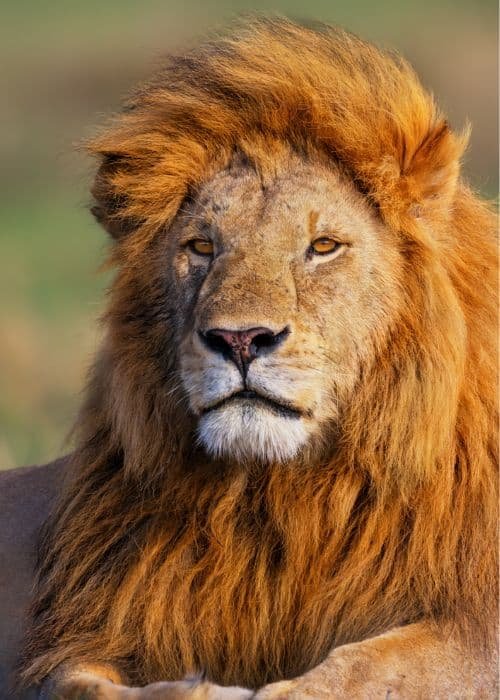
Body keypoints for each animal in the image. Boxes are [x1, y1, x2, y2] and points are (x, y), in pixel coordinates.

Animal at [0, 16, 497, 699]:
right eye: (201, 247)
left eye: (323, 246)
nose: (239, 340)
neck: (281, 496)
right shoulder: (93, 624)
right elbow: (77, 683)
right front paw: (194, 688)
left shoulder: (475, 622)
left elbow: (367, 667)